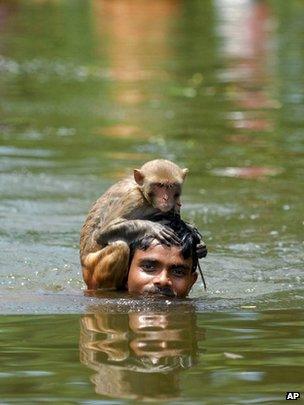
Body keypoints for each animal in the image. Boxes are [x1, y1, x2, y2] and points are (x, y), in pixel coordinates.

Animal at [79, 157, 207, 288]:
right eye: (159, 185)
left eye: (171, 186)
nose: (166, 198)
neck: (142, 192)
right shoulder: (133, 199)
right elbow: (102, 233)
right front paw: (153, 227)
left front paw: (200, 246)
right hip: (91, 267)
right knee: (120, 246)